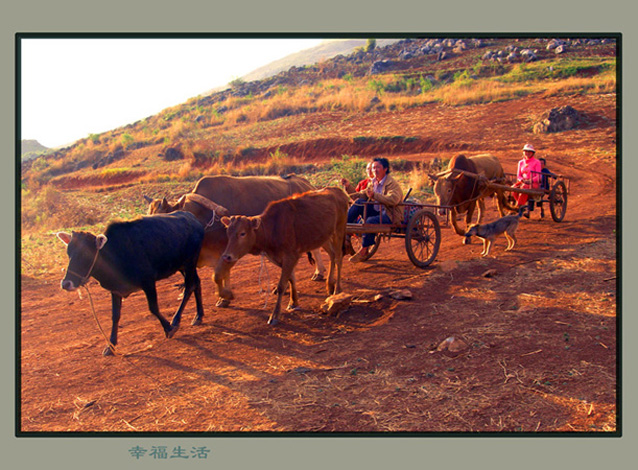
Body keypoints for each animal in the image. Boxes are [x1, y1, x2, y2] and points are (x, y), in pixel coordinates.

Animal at [58, 211, 205, 354]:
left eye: (85, 254)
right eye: (68, 253)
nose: (66, 284)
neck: (114, 255)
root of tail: (192, 218)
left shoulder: (148, 282)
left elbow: (153, 308)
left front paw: (169, 328)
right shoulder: (115, 290)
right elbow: (115, 315)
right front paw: (111, 345)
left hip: (190, 262)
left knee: (189, 287)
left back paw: (176, 320)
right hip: (182, 266)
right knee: (197, 283)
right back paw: (198, 316)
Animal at [144, 174, 324, 306]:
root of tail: (305, 183)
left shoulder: (228, 251)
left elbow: (220, 274)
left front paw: (225, 296)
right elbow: (221, 274)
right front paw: (223, 297)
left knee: (316, 248)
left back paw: (319, 273)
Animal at [220, 185, 350, 324]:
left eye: (242, 233)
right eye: (228, 232)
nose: (227, 256)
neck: (273, 228)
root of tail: (337, 189)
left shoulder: (290, 256)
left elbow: (282, 285)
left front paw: (275, 315)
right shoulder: (282, 258)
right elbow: (291, 278)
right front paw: (293, 302)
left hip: (339, 231)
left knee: (338, 257)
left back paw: (337, 289)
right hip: (323, 236)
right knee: (332, 255)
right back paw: (330, 286)